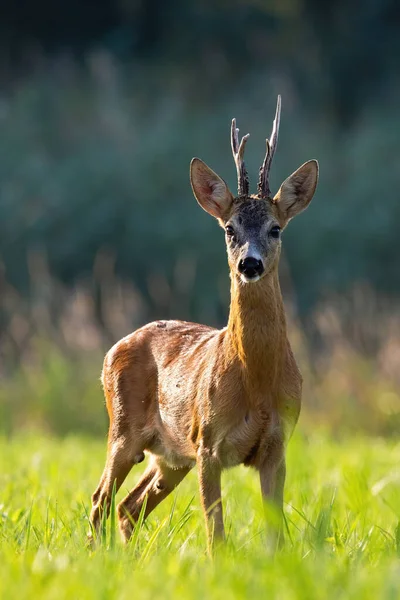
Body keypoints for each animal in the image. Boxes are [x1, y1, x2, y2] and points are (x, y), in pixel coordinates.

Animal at [88, 96, 318, 552]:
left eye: (275, 228)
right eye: (229, 228)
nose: (250, 264)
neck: (257, 382)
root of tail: (113, 348)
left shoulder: (278, 444)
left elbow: (275, 533)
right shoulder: (208, 441)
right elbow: (216, 533)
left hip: (170, 456)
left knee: (127, 506)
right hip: (123, 429)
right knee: (100, 499)